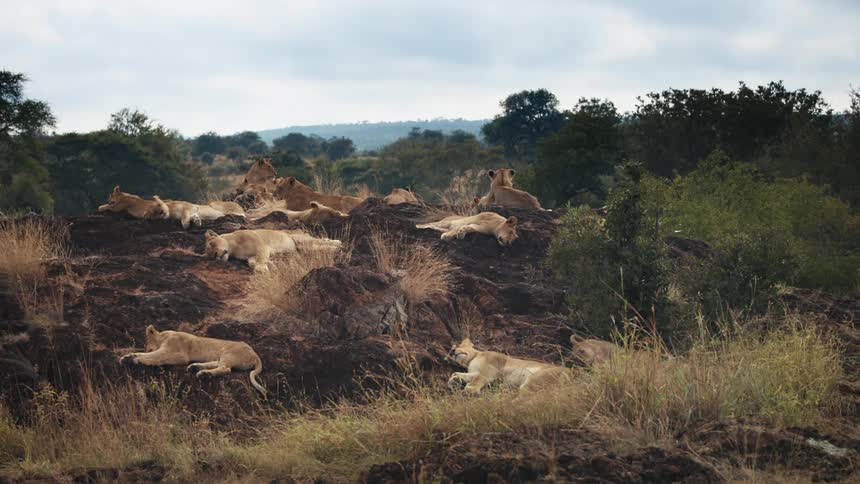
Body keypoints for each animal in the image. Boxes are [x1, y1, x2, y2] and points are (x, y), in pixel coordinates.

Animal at [119, 325, 266, 396]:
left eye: (147, 343)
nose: (147, 347)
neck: (164, 336)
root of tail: (256, 355)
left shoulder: (178, 354)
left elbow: (156, 357)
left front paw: (136, 359)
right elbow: (151, 354)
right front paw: (128, 357)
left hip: (229, 353)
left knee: (226, 369)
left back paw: (204, 374)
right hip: (222, 356)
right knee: (217, 364)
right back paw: (195, 367)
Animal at [204, 228, 342, 271]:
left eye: (212, 244)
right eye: (209, 255)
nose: (215, 255)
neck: (234, 247)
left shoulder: (261, 246)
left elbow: (261, 260)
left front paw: (262, 268)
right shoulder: (250, 257)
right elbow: (252, 263)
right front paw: (271, 264)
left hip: (302, 241)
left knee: (321, 242)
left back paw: (339, 244)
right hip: (304, 246)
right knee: (321, 244)